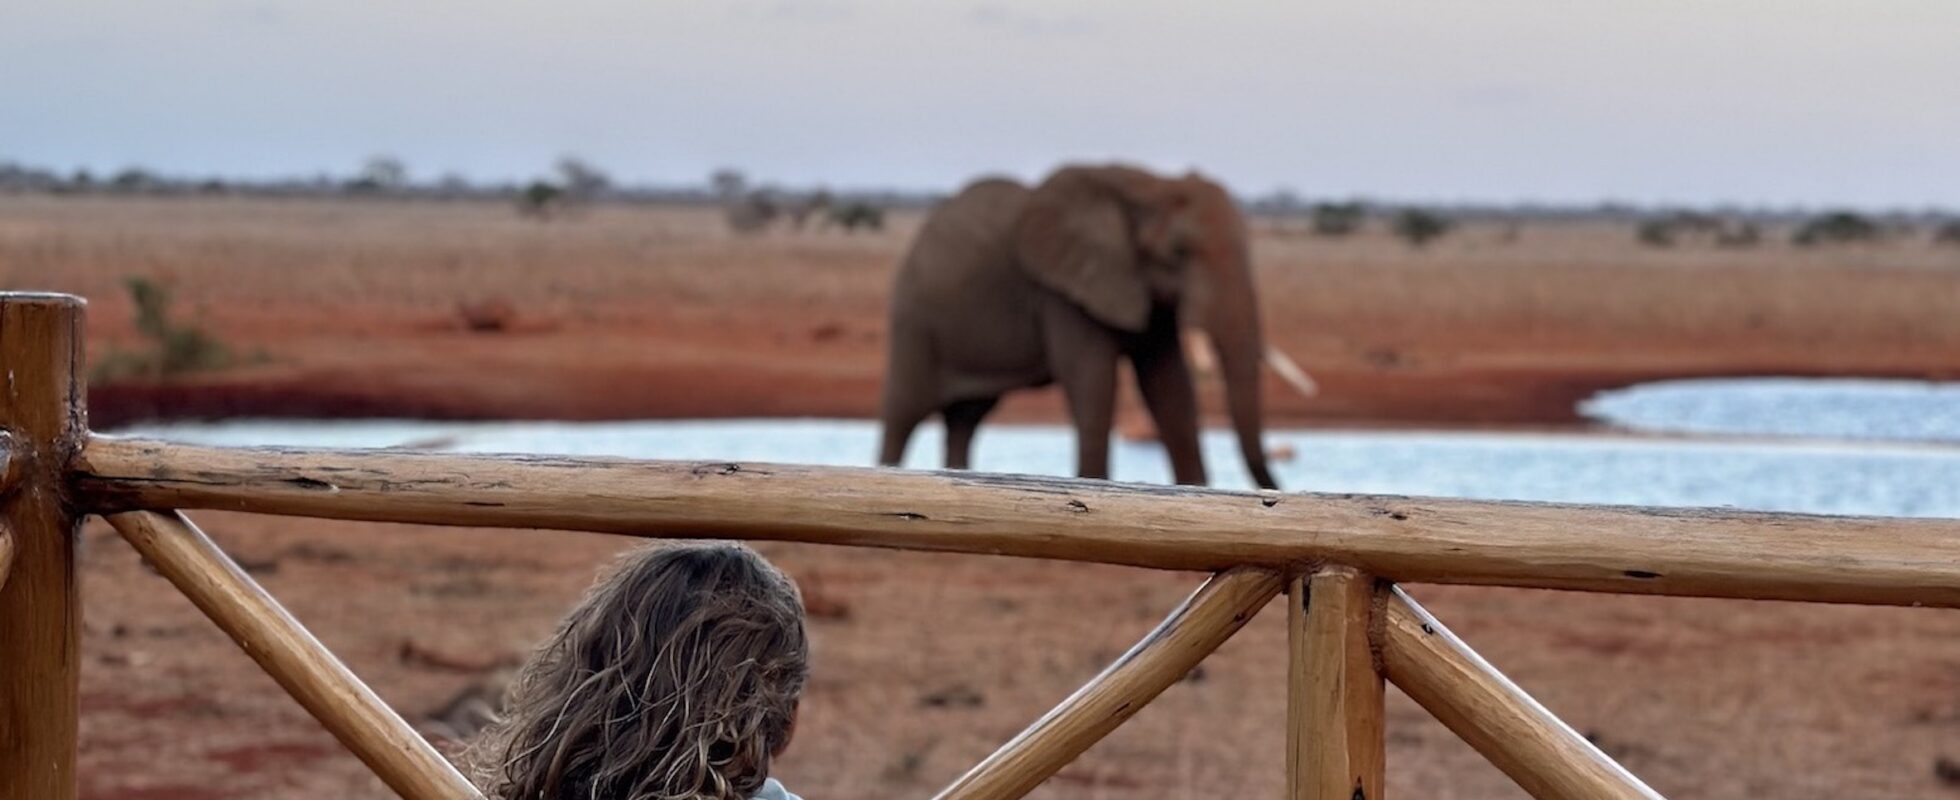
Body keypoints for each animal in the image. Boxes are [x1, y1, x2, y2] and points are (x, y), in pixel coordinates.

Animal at [877, 163, 1312, 490]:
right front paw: (1093, 485)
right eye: (1178, 252)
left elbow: (1170, 387)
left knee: (965, 419)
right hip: (914, 318)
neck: (1145, 184)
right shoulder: (1064, 292)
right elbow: (1092, 381)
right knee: (904, 413)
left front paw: (1195, 491)